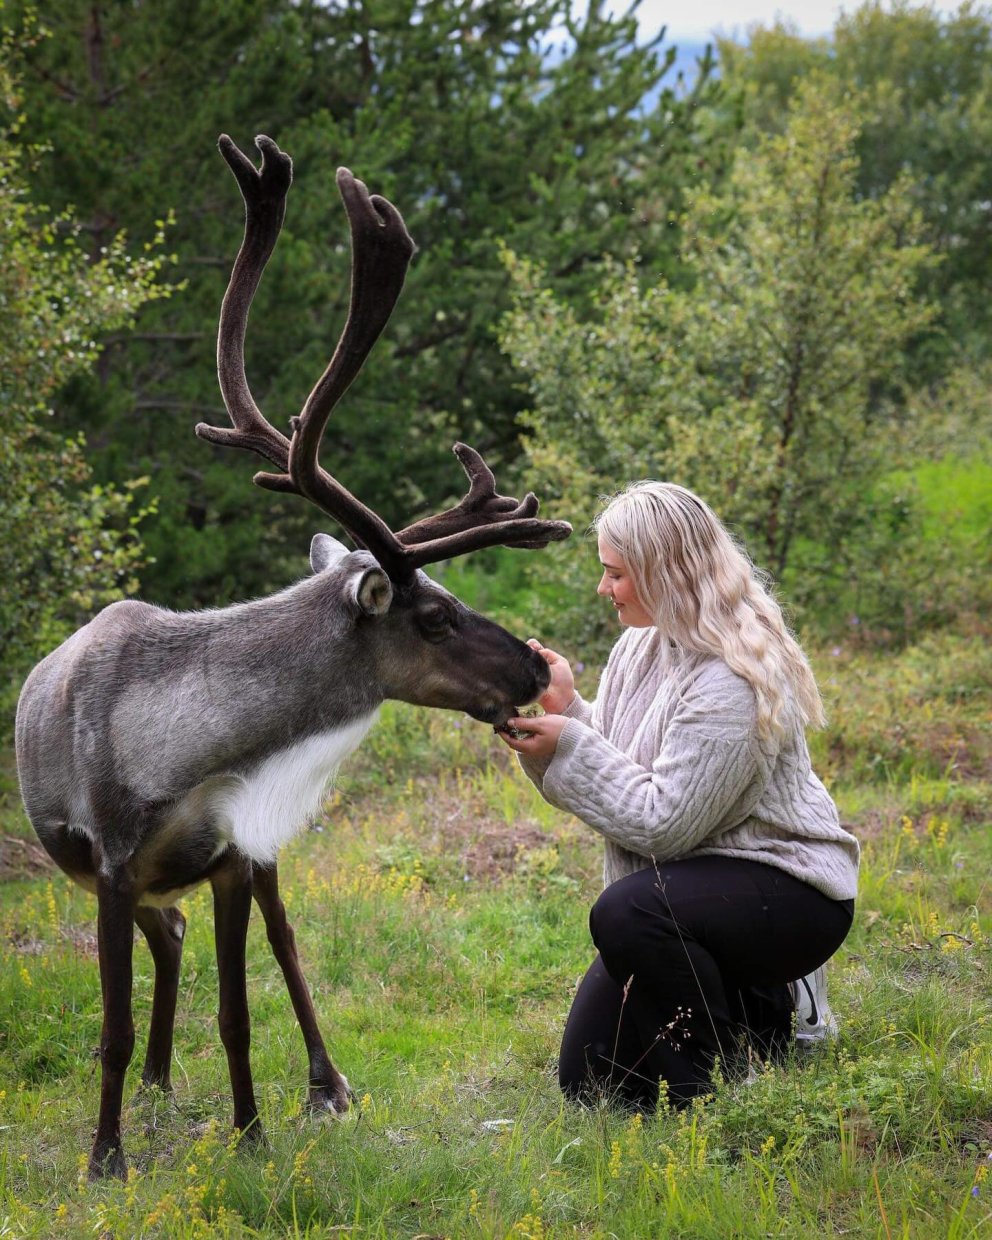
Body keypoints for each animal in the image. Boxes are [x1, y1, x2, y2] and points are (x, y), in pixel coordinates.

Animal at [14, 134, 571, 1180]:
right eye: (433, 615)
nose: (533, 667)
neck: (183, 752)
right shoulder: (111, 862)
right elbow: (110, 1027)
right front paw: (105, 1156)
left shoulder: (234, 853)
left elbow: (241, 1008)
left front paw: (251, 1133)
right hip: (126, 877)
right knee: (168, 934)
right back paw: (154, 1087)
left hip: (244, 863)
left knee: (276, 940)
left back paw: (324, 1083)